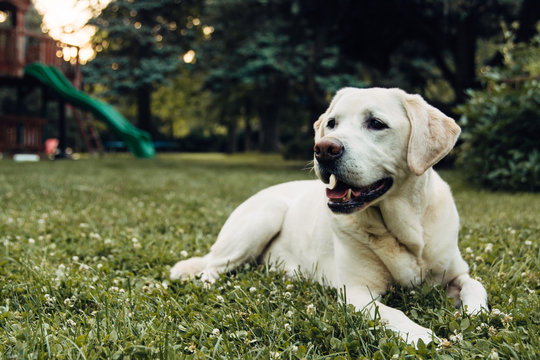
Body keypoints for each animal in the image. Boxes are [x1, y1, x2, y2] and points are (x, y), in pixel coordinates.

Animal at [171, 88, 488, 346]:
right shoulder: (357, 292)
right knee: (211, 268)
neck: (405, 231)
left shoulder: (456, 272)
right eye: (332, 123)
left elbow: (476, 284)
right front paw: (421, 334)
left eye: (376, 123)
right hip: (264, 216)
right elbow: (394, 313)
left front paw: (475, 312)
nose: (324, 148)